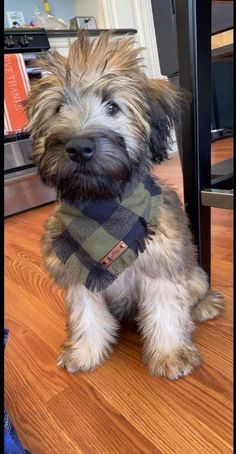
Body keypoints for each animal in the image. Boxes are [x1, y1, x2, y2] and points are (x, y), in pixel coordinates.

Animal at [25, 32, 223, 380]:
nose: (79, 147)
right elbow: (86, 316)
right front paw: (85, 351)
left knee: (194, 290)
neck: (104, 207)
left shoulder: (160, 264)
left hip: (193, 271)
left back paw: (203, 305)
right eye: (58, 108)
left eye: (113, 106)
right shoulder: (78, 273)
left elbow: (165, 313)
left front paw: (169, 354)